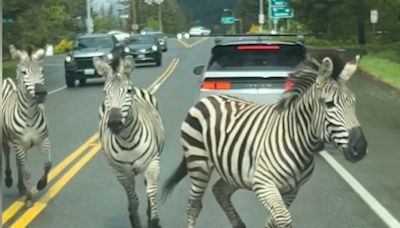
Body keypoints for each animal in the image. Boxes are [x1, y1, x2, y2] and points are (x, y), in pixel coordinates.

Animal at [1, 44, 51, 207]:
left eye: (42, 71)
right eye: (24, 72)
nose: (41, 93)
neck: (29, 116)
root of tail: (6, 80)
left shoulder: (44, 140)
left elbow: (47, 164)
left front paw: (41, 184)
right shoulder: (19, 144)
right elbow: (27, 172)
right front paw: (29, 198)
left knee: (18, 163)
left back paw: (21, 187)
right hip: (7, 140)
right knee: (7, 154)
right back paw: (9, 180)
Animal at [94, 55, 166, 228]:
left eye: (128, 91)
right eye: (105, 92)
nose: (114, 123)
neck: (127, 140)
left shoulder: (152, 163)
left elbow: (152, 192)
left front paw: (154, 220)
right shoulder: (121, 173)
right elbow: (133, 200)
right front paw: (135, 220)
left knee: (148, 187)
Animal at [161, 52, 368, 227]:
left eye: (354, 102)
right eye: (329, 104)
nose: (360, 147)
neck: (297, 140)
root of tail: (207, 99)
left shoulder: (291, 190)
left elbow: (273, 222)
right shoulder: (264, 184)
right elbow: (283, 220)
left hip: (234, 171)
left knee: (219, 191)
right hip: (198, 163)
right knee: (194, 205)